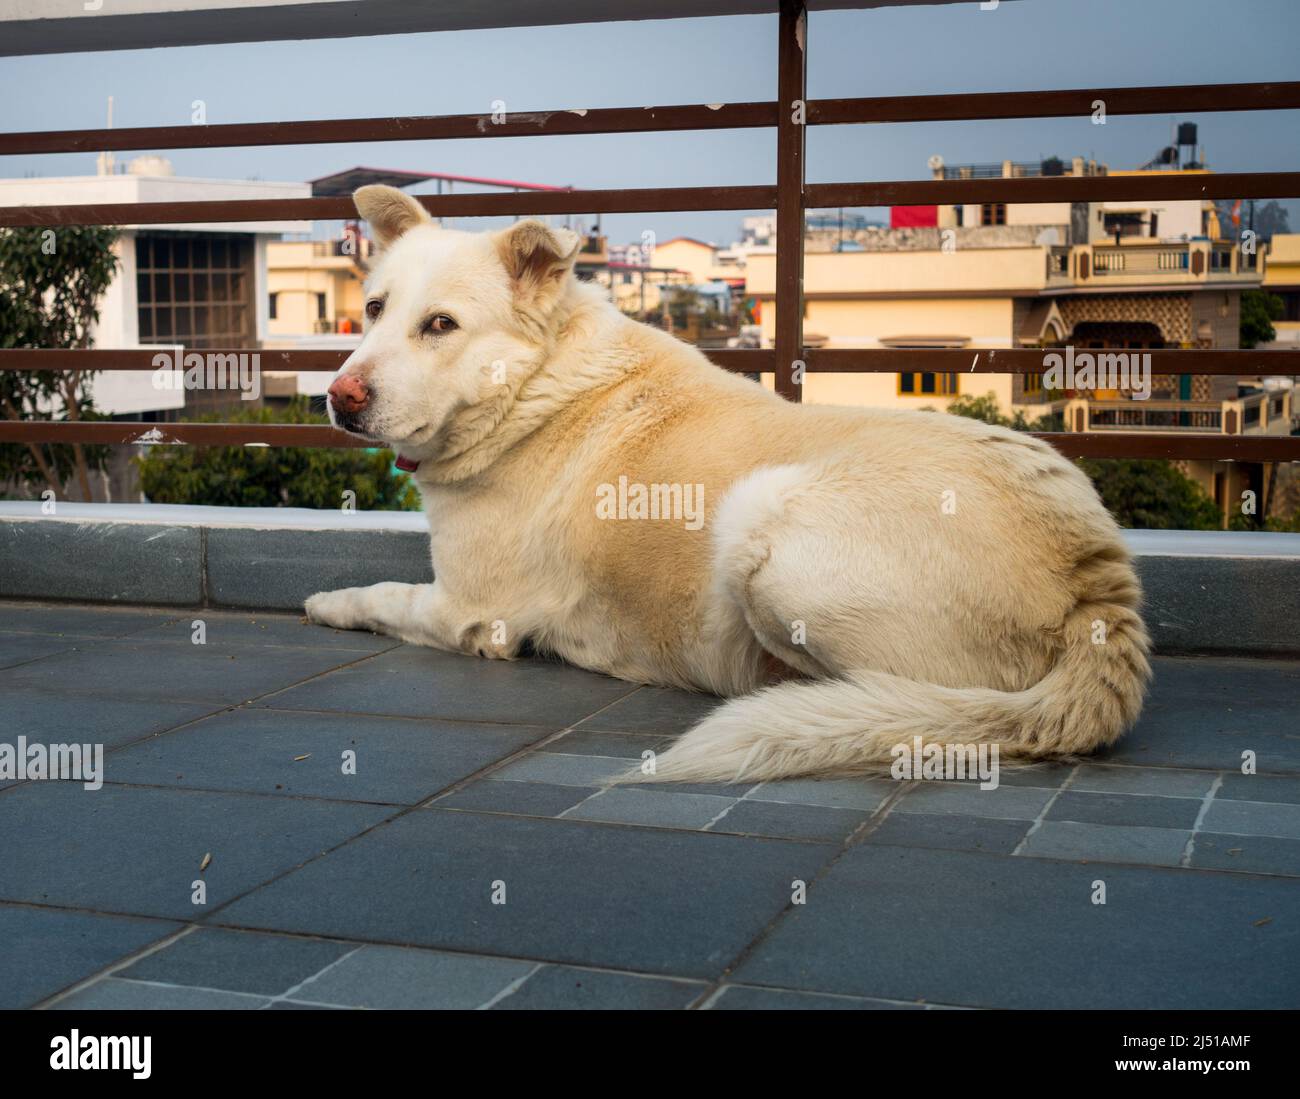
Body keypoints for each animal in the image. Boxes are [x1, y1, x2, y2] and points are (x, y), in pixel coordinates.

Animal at [304, 184, 1149, 780]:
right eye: (373, 309)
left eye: (440, 325)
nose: (338, 397)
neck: (534, 386)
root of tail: (1096, 588)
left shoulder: (469, 611)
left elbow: (381, 595)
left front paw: (325, 602)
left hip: (761, 521)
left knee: (890, 695)